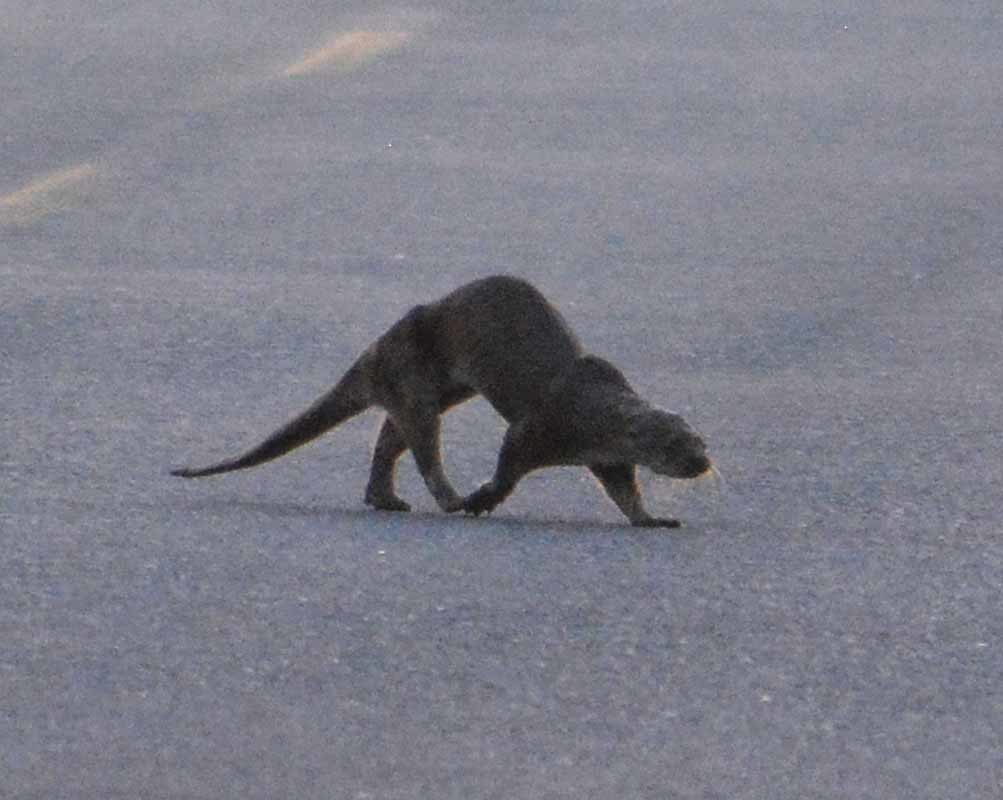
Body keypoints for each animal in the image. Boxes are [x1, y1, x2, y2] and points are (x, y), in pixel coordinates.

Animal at [171, 275, 712, 527]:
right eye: (674, 446)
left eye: (702, 442)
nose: (704, 464)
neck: (592, 413)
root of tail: (378, 347)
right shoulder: (536, 426)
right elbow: (508, 466)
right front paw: (482, 500)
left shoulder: (609, 459)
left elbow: (625, 492)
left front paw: (652, 519)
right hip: (413, 379)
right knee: (423, 448)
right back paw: (450, 501)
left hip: (436, 390)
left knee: (390, 439)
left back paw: (386, 499)